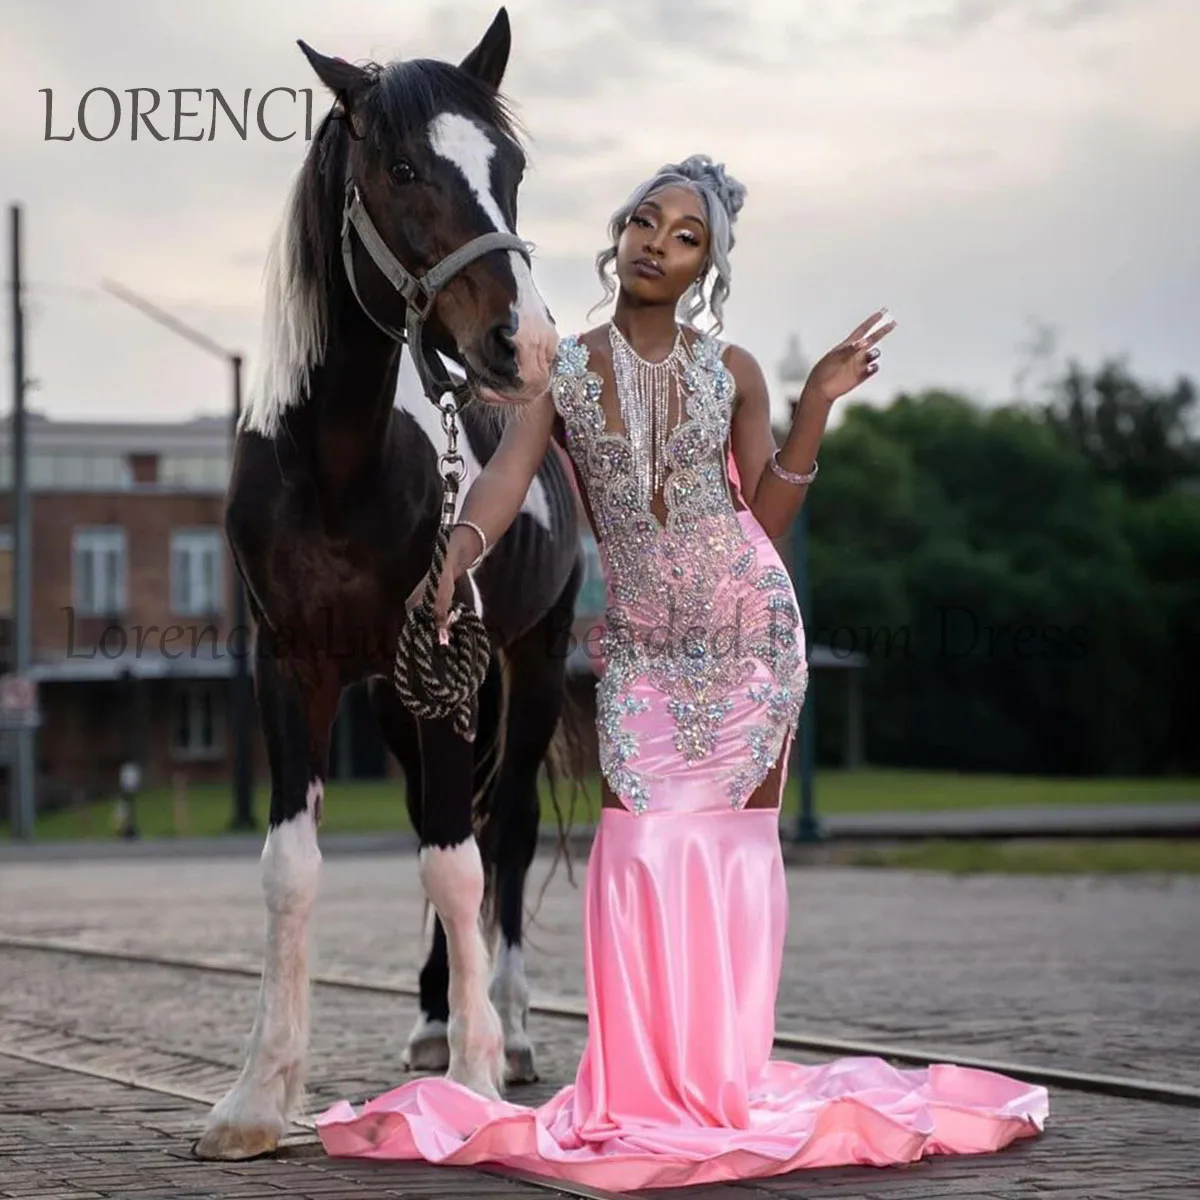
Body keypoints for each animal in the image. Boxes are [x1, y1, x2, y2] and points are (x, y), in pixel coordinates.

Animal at [194, 7, 583, 1152]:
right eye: (401, 166)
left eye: (512, 168)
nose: (525, 343)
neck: (337, 462)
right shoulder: (293, 665)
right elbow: (292, 866)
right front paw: (258, 1096)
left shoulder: (455, 652)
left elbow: (462, 860)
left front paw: (477, 1080)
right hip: (409, 697)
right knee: (436, 818)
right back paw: (429, 1021)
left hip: (530, 663)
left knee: (503, 831)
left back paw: (508, 1028)